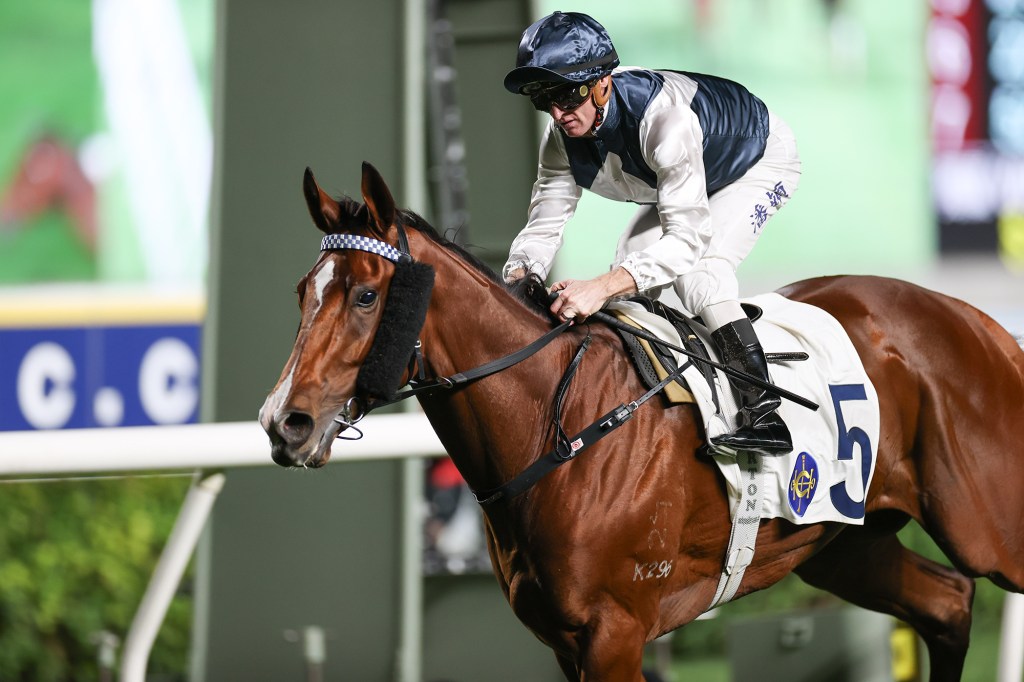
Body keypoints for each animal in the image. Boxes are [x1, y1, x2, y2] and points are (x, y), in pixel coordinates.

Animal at [260, 162, 1024, 681]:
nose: (282, 422)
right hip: (844, 544)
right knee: (950, 602)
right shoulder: (564, 639)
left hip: (986, 527)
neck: (556, 421)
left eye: (365, 296)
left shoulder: (615, 633)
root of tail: (981, 322)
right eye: (302, 292)